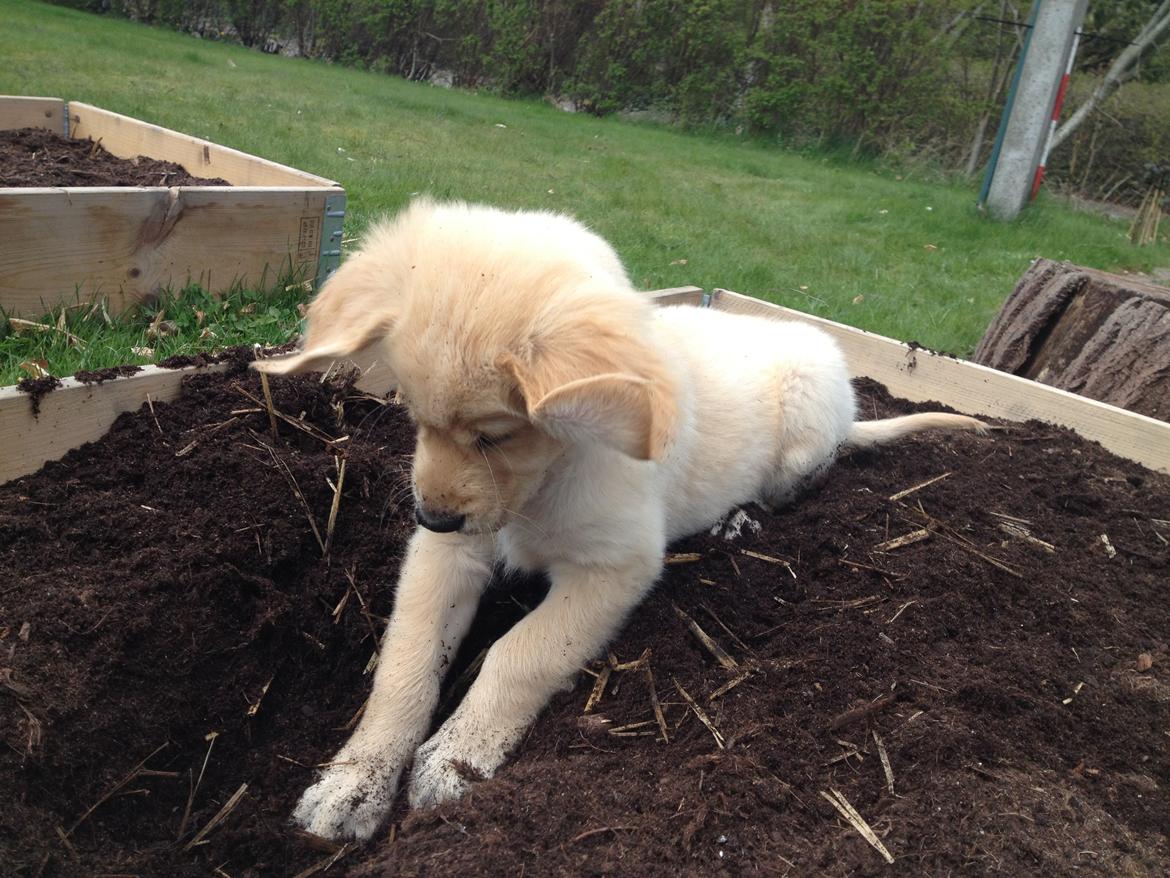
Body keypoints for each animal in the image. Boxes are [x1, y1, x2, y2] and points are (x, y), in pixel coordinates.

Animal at [256, 197, 987, 838]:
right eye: (412, 417)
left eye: (495, 436)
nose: (430, 516)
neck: (551, 475)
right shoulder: (450, 552)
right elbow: (406, 663)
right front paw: (354, 781)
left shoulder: (616, 566)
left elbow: (521, 651)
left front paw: (457, 757)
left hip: (805, 430)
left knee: (800, 480)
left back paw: (738, 520)